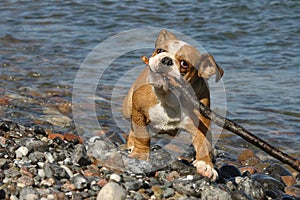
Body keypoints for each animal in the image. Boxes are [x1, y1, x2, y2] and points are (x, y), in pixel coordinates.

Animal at [122, 29, 223, 181]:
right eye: (159, 50)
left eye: (184, 63)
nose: (166, 60)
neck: (167, 96)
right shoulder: (138, 110)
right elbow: (142, 135)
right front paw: (139, 154)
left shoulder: (201, 122)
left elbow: (203, 142)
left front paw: (206, 164)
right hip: (128, 108)